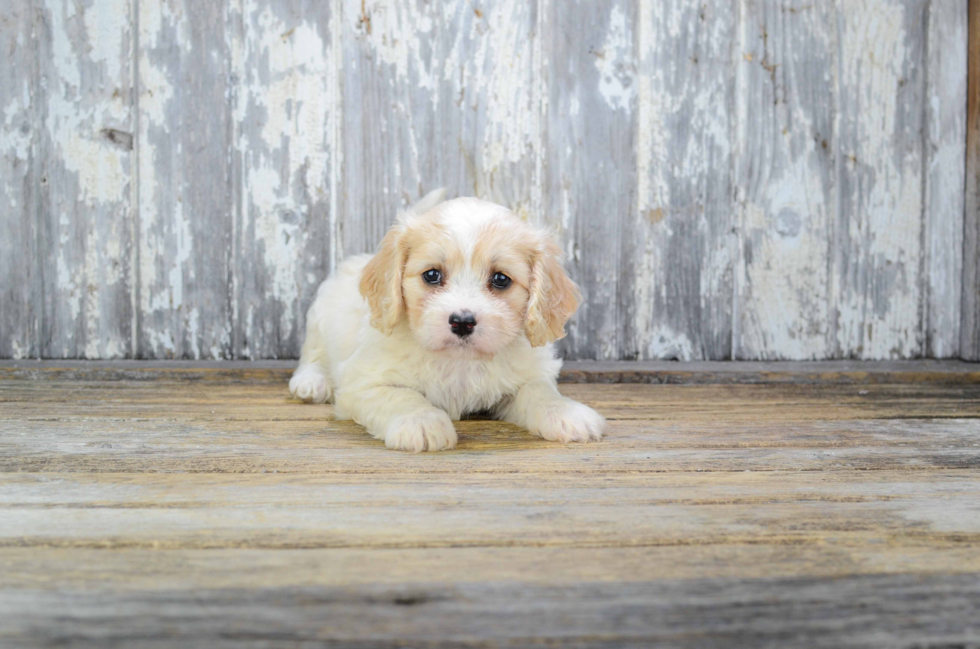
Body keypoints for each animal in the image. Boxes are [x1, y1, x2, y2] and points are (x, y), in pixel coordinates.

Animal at [288, 189, 604, 450]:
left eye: (501, 279)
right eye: (432, 275)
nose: (462, 322)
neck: (459, 362)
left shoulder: (526, 376)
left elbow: (540, 391)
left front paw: (566, 413)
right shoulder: (363, 383)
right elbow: (401, 397)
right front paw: (422, 422)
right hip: (318, 320)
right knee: (312, 354)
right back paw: (311, 383)